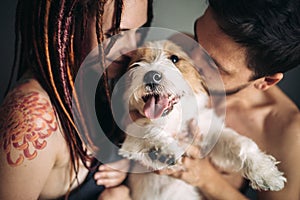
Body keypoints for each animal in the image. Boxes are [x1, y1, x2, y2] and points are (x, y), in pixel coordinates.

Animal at [117, 39, 286, 199]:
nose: (151, 75)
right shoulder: (130, 140)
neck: (175, 118)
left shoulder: (209, 131)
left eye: (174, 59)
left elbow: (241, 143)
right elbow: (149, 129)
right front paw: (164, 151)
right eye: (137, 62)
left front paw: (265, 172)